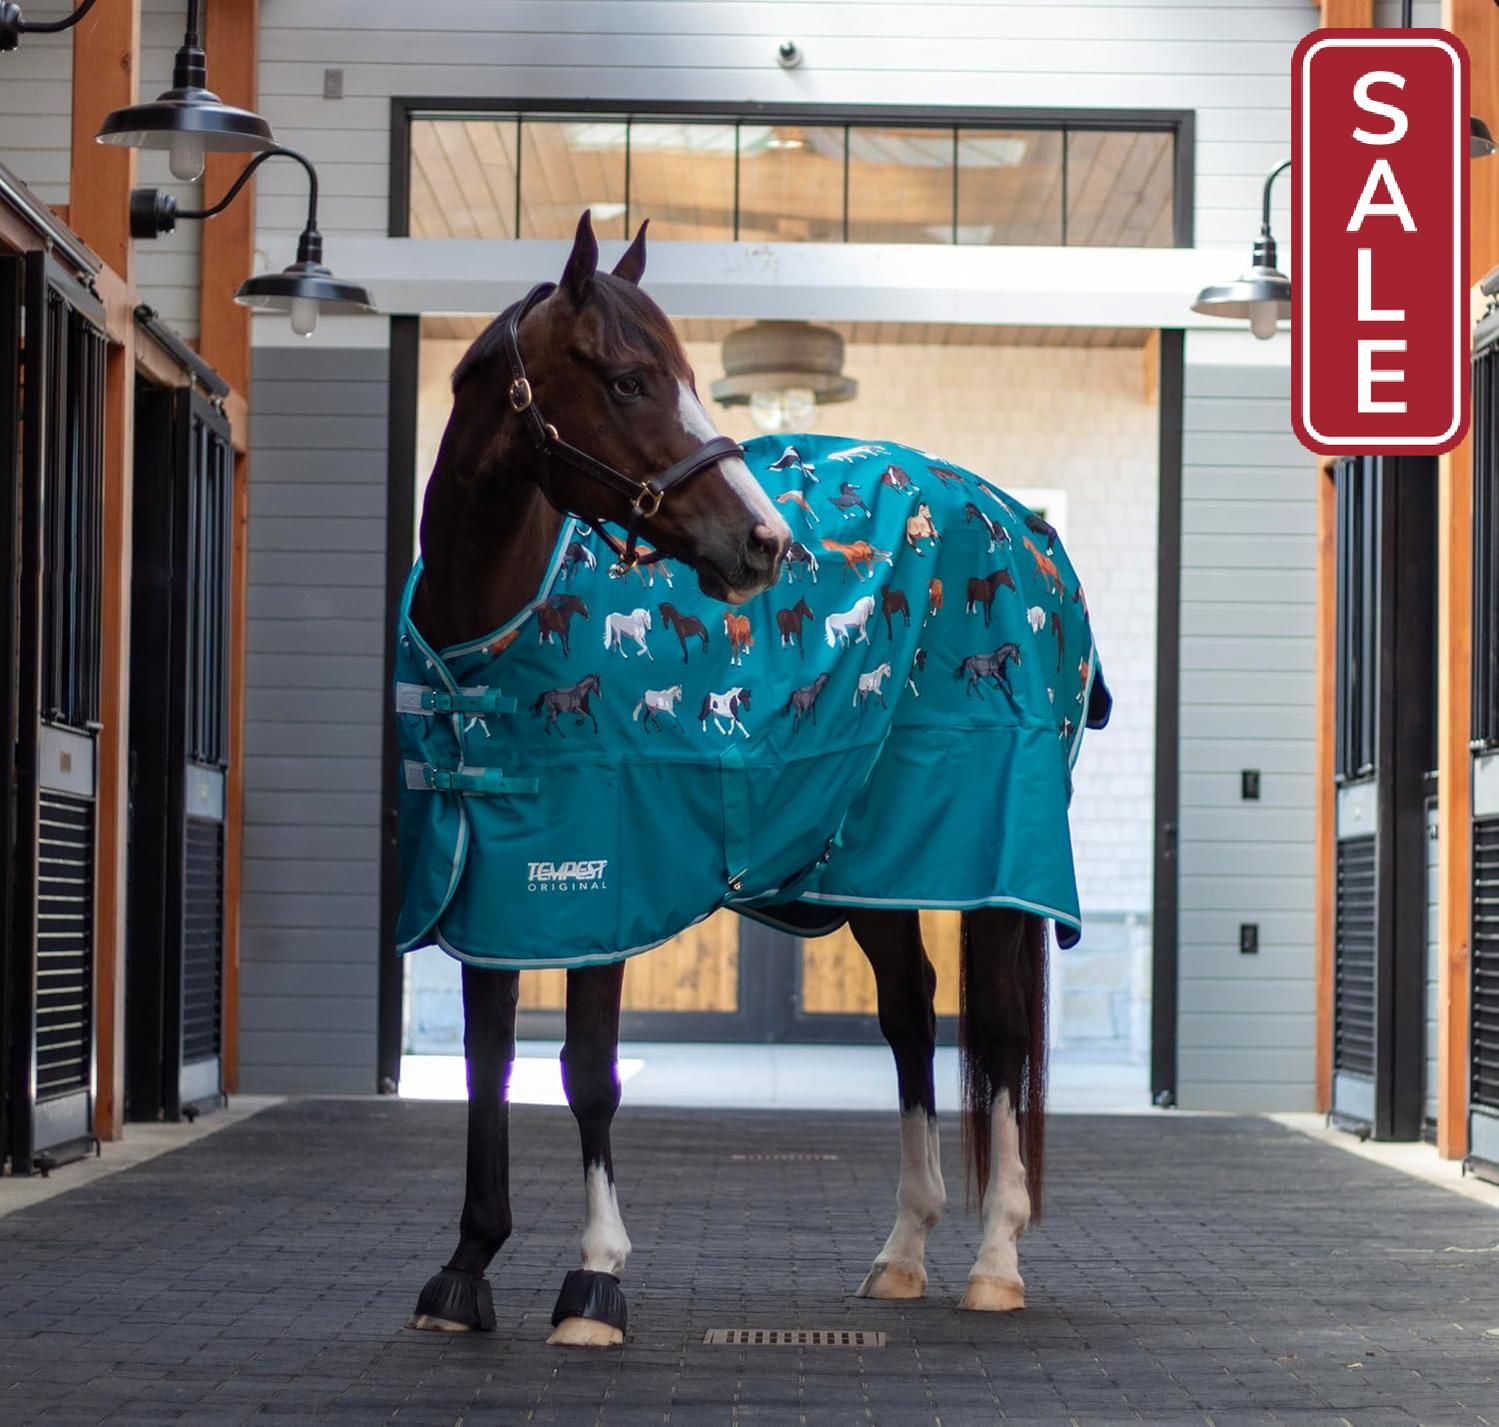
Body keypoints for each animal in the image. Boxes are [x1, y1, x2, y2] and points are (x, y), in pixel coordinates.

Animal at [406, 211, 1055, 1351]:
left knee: (1005, 1037)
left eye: (688, 380)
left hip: (992, 872)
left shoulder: (599, 883)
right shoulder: (491, 887)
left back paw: (993, 1260)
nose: (764, 543)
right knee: (908, 1015)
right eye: (627, 380)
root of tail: (1019, 523)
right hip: (873, 874)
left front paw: (594, 1280)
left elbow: (586, 1070)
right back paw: (901, 1251)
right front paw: (465, 1267)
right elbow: (491, 1063)